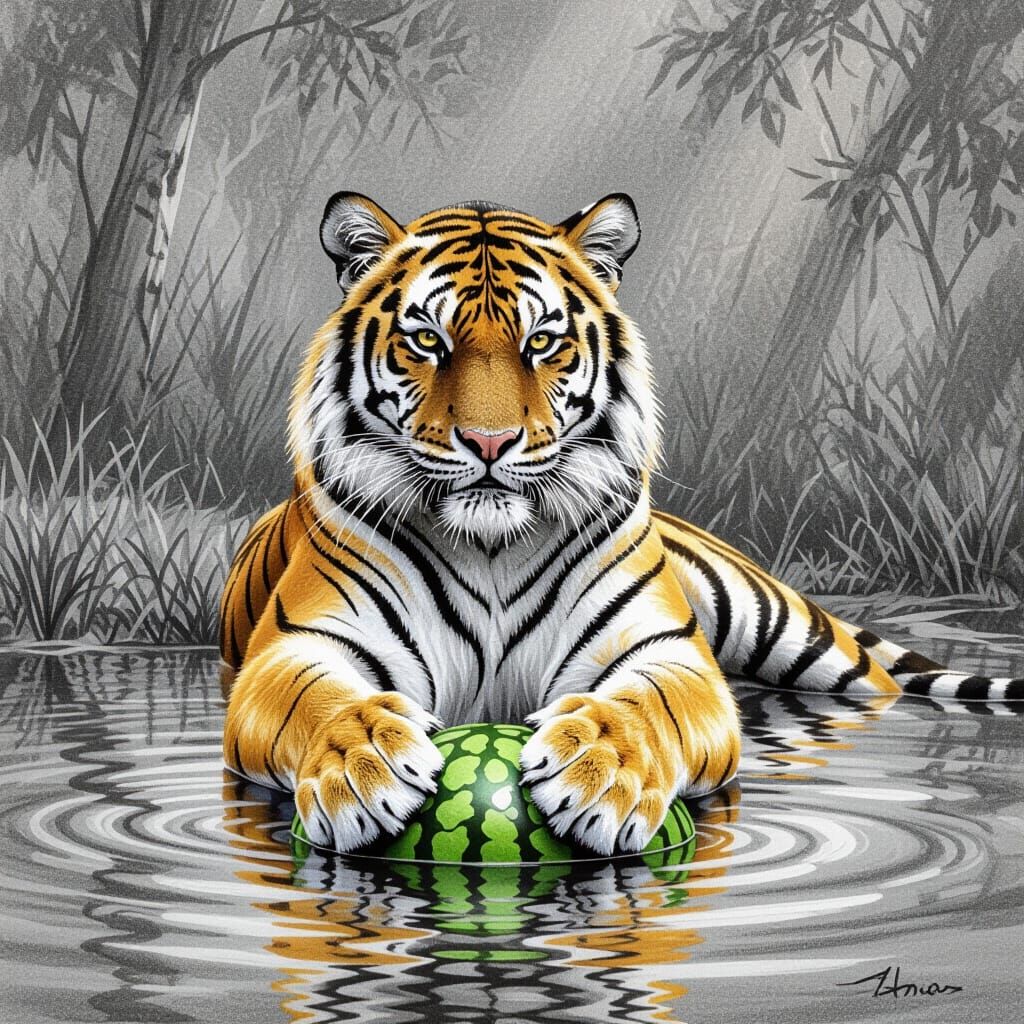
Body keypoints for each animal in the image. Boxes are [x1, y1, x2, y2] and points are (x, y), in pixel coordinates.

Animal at [220, 191, 1023, 857]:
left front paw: (601, 768)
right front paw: (362, 763)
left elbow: (648, 704)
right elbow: (321, 698)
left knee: (879, 682)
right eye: (428, 342)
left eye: (541, 342)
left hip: (791, 634)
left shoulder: (667, 650)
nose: (488, 442)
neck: (489, 547)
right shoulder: (297, 646)